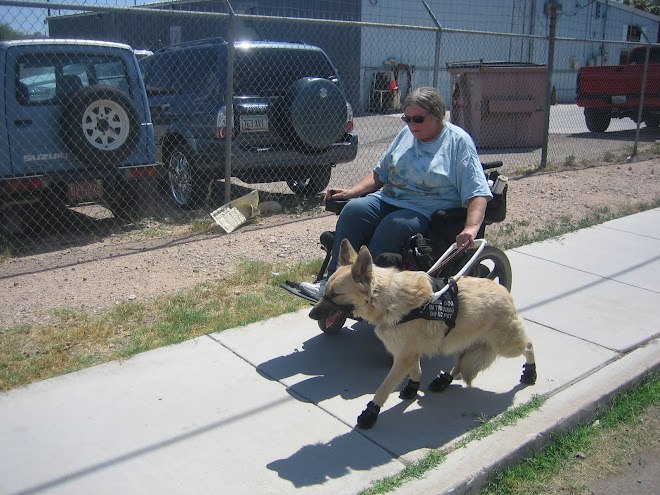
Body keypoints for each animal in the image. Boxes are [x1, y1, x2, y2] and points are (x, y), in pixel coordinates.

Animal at [310, 240, 536, 430]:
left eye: (335, 294)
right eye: (326, 291)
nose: (311, 314)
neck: (385, 299)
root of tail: (504, 291)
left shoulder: (404, 356)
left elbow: (383, 388)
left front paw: (370, 413)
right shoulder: (408, 353)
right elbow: (415, 370)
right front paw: (412, 388)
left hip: (505, 345)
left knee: (528, 345)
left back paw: (530, 373)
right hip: (455, 342)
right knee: (459, 364)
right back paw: (445, 380)